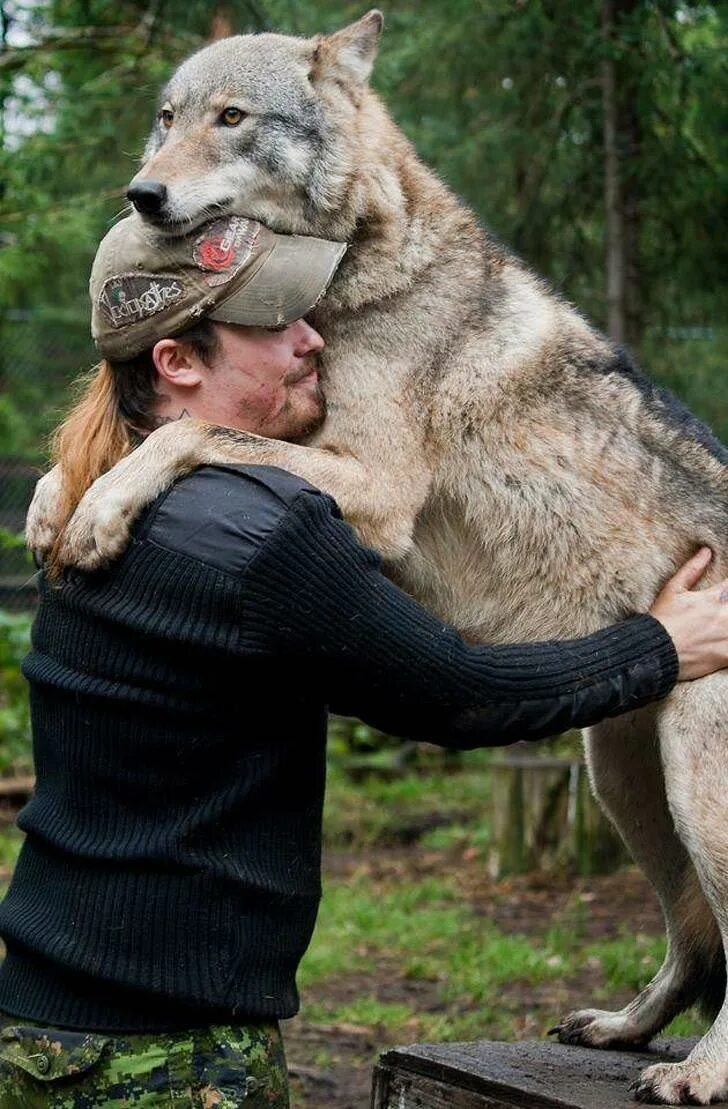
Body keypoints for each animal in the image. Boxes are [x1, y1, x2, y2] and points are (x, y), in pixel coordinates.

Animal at [25, 13, 728, 1104]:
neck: (359, 273)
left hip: (694, 784)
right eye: (168, 119)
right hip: (624, 782)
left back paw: (700, 1070)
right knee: (691, 939)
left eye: (234, 119)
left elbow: (185, 432)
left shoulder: (378, 489)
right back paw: (622, 1030)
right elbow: (128, 446)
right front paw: (54, 501)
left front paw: (101, 506)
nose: (142, 194)